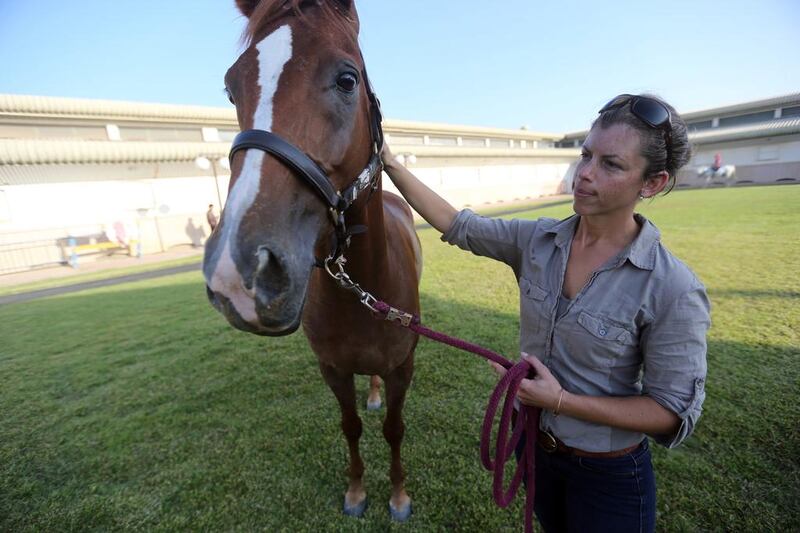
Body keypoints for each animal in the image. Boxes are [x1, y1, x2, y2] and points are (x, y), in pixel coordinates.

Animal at [203, 0, 422, 520]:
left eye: (347, 79)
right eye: (231, 87)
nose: (239, 274)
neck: (365, 285)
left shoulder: (403, 368)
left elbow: (395, 430)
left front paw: (398, 495)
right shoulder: (333, 371)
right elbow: (351, 428)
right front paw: (357, 492)